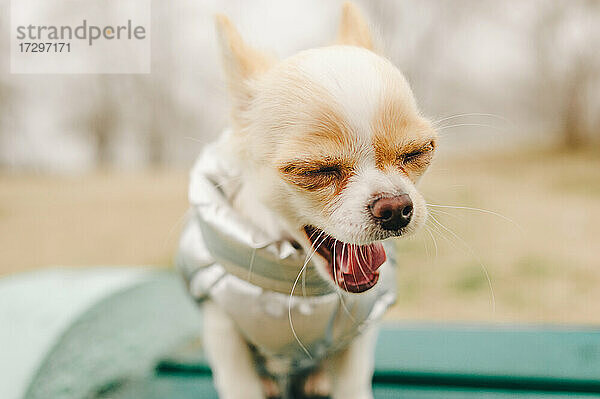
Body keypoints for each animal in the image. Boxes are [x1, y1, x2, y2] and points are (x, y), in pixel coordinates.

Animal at [196, 3, 436, 399]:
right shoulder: (222, 327)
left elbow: (353, 384)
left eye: (417, 153)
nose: (395, 208)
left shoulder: (359, 328)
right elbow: (240, 383)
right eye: (315, 171)